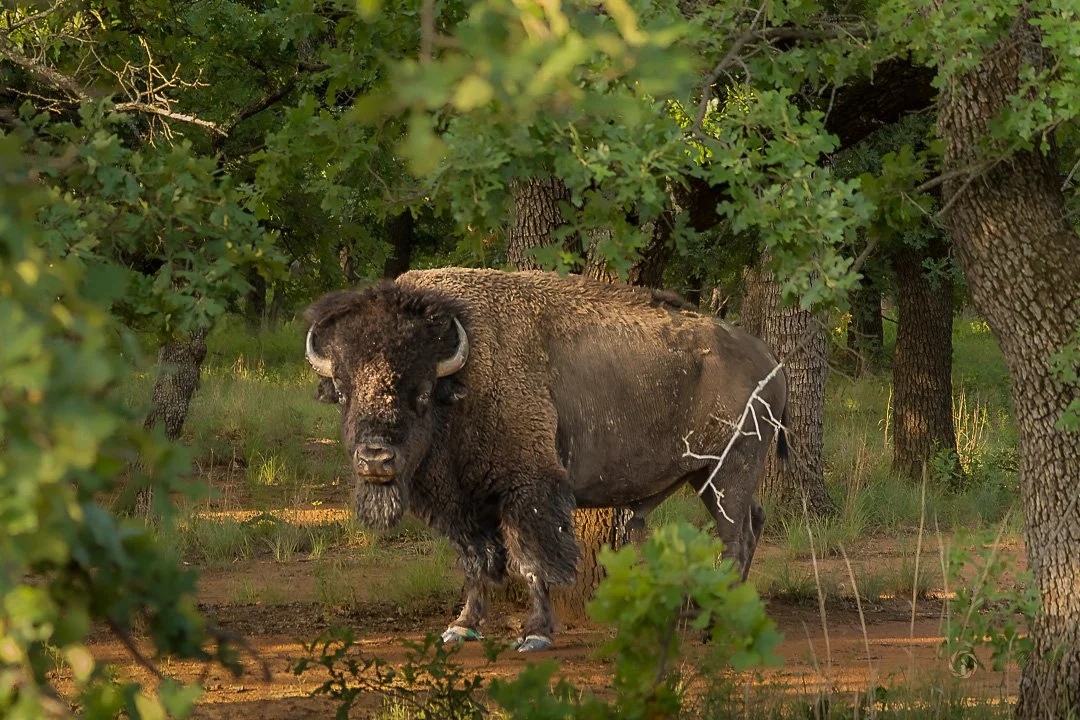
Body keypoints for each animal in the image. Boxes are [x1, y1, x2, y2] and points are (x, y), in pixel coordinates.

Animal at [304, 268, 787, 652]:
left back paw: (716, 626)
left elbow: (531, 559)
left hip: (730, 470)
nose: (375, 458)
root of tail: (769, 359)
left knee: (735, 537)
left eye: (421, 392)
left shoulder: (528, 488)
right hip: (706, 476)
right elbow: (475, 562)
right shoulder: (463, 505)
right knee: (753, 524)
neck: (463, 377)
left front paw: (534, 634)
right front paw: (461, 627)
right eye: (343, 391)